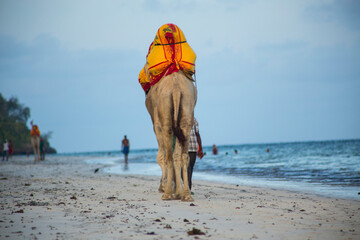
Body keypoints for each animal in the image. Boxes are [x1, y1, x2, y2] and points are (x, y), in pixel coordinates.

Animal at [146, 71, 197, 201]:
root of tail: (176, 89)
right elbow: (176, 155)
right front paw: (178, 191)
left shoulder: (156, 125)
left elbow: (161, 156)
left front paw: (163, 186)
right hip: (186, 112)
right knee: (183, 156)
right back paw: (186, 195)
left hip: (166, 119)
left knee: (168, 156)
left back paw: (167, 193)